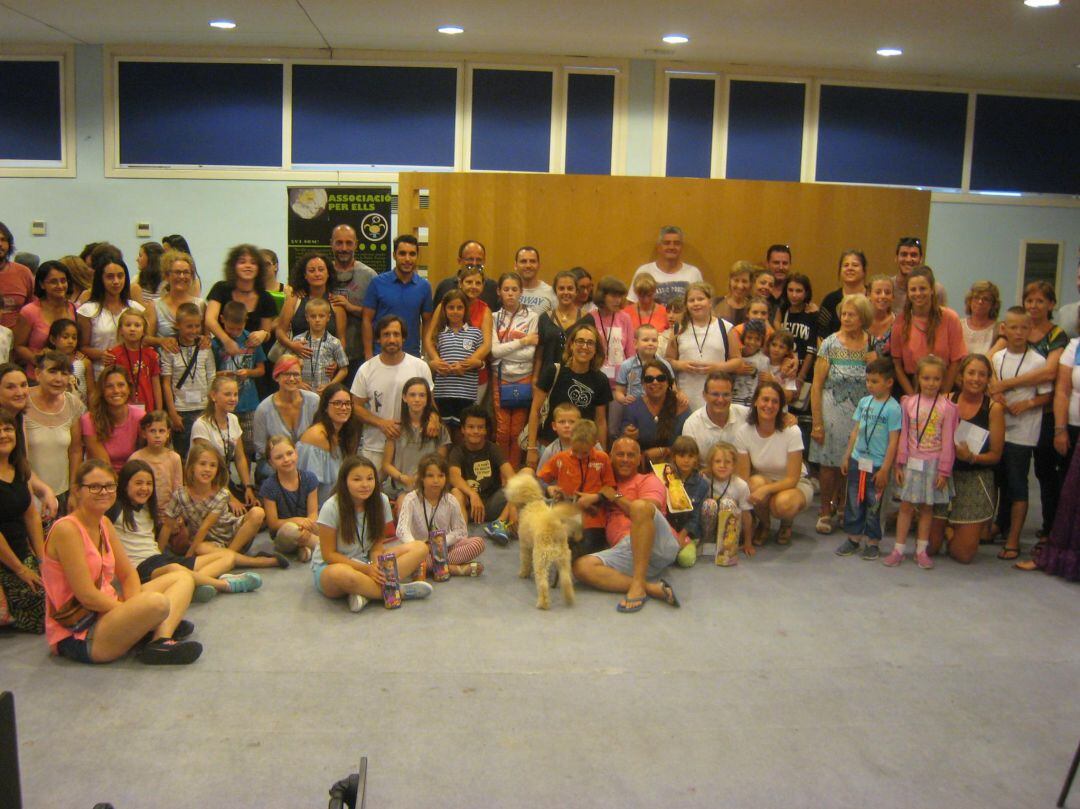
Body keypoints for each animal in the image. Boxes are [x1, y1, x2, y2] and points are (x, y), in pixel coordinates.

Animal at [505, 470, 583, 609]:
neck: (531, 502)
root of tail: (554, 528)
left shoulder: (525, 546)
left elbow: (525, 562)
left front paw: (523, 574)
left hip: (540, 559)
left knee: (543, 585)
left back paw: (542, 604)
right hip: (564, 560)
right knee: (566, 580)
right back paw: (569, 598)